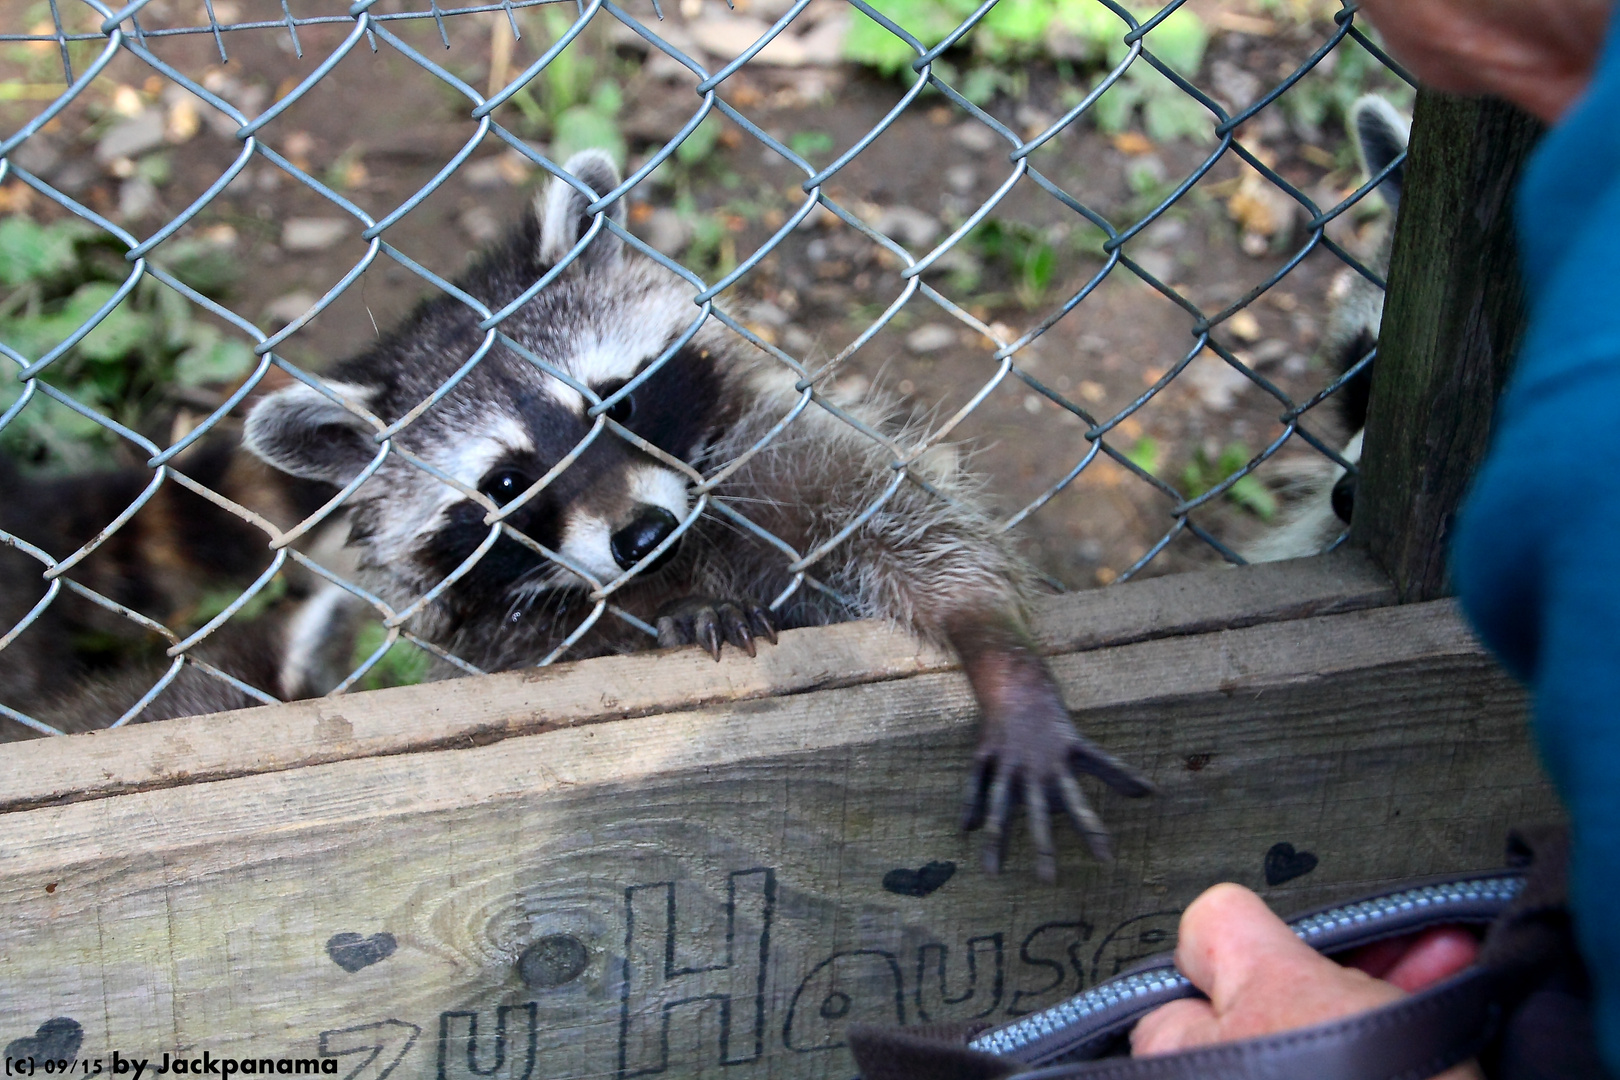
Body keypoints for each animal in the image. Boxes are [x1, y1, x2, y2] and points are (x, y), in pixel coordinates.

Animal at [246, 152, 1153, 880]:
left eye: (616, 401)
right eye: (505, 484)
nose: (641, 534)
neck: (679, 554)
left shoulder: (786, 451)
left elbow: (910, 527)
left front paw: (995, 648)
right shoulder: (505, 646)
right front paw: (684, 613)